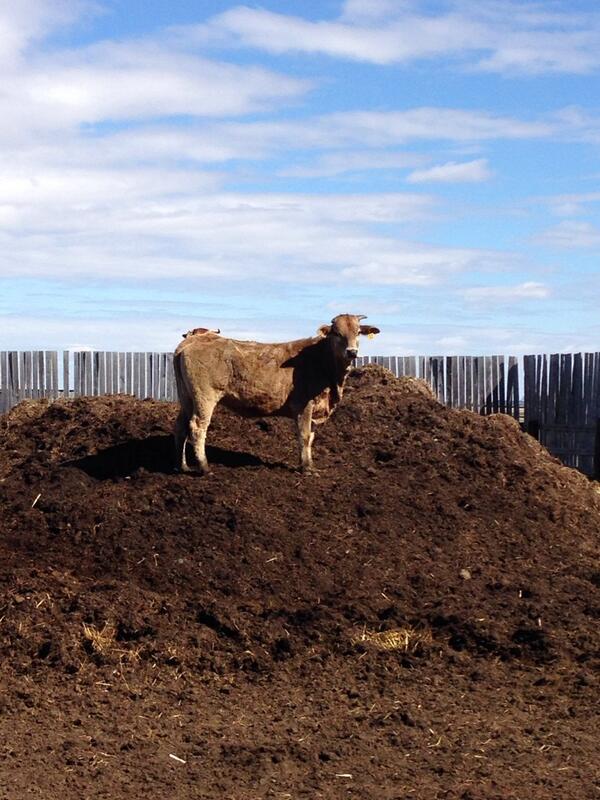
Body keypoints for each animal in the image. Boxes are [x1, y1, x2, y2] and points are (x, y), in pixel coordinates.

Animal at [173, 314, 380, 475]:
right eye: (337, 333)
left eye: (358, 332)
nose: (352, 352)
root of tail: (192, 341)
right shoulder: (303, 405)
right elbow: (304, 436)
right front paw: (306, 468)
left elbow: (311, 438)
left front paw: (310, 465)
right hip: (205, 397)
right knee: (197, 427)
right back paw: (204, 467)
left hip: (186, 397)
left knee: (180, 426)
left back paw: (182, 466)